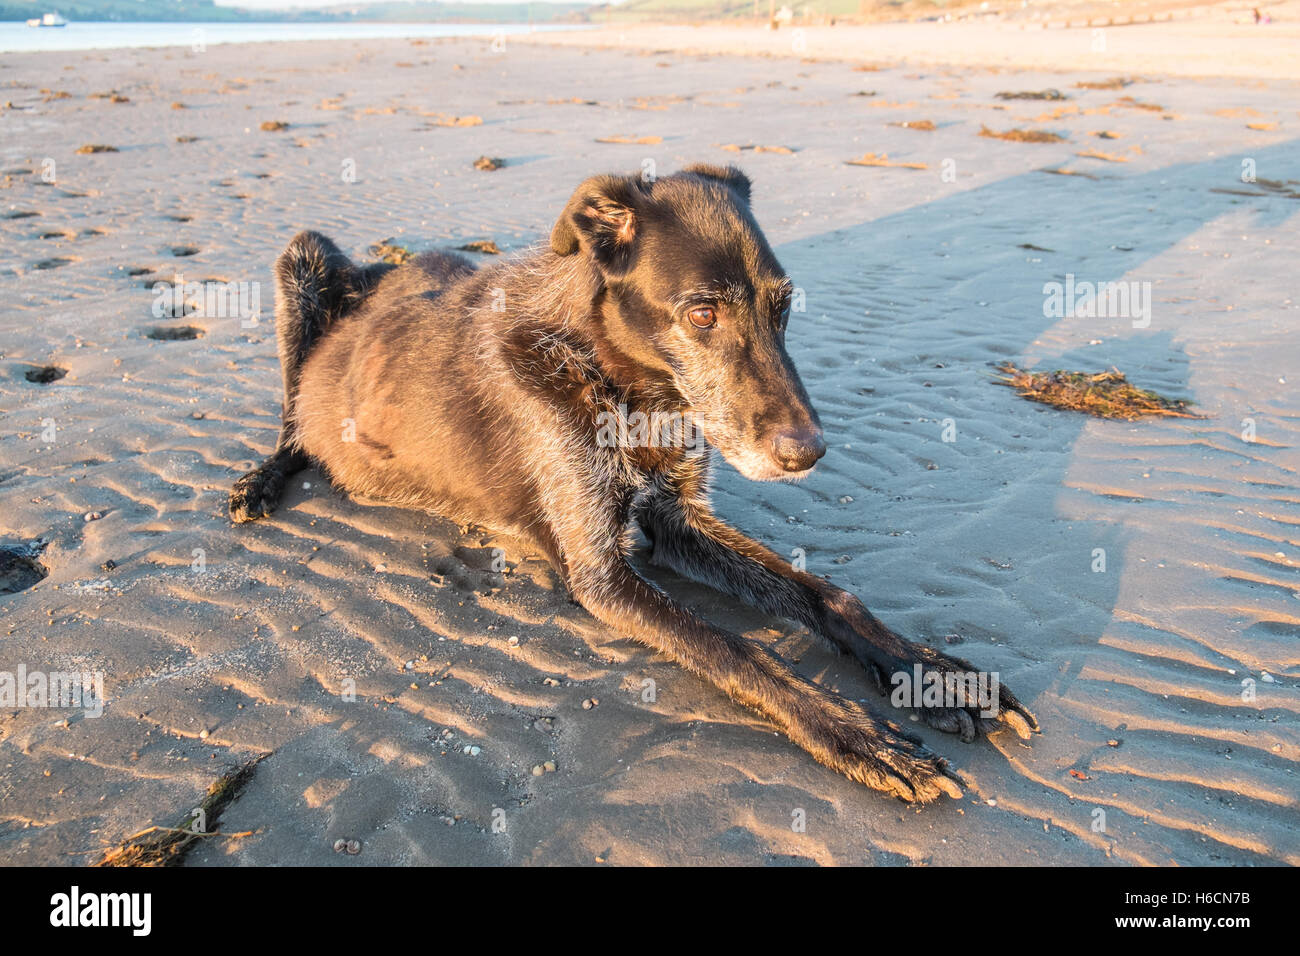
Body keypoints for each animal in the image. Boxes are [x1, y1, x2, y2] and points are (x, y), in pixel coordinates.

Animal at [228, 162, 1040, 801]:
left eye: (783, 307)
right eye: (703, 312)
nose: (808, 453)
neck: (616, 381)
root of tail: (382, 271)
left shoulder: (677, 518)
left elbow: (824, 594)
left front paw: (929, 673)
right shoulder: (600, 573)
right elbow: (739, 650)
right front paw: (853, 734)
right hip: (302, 259)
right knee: (291, 420)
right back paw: (260, 481)